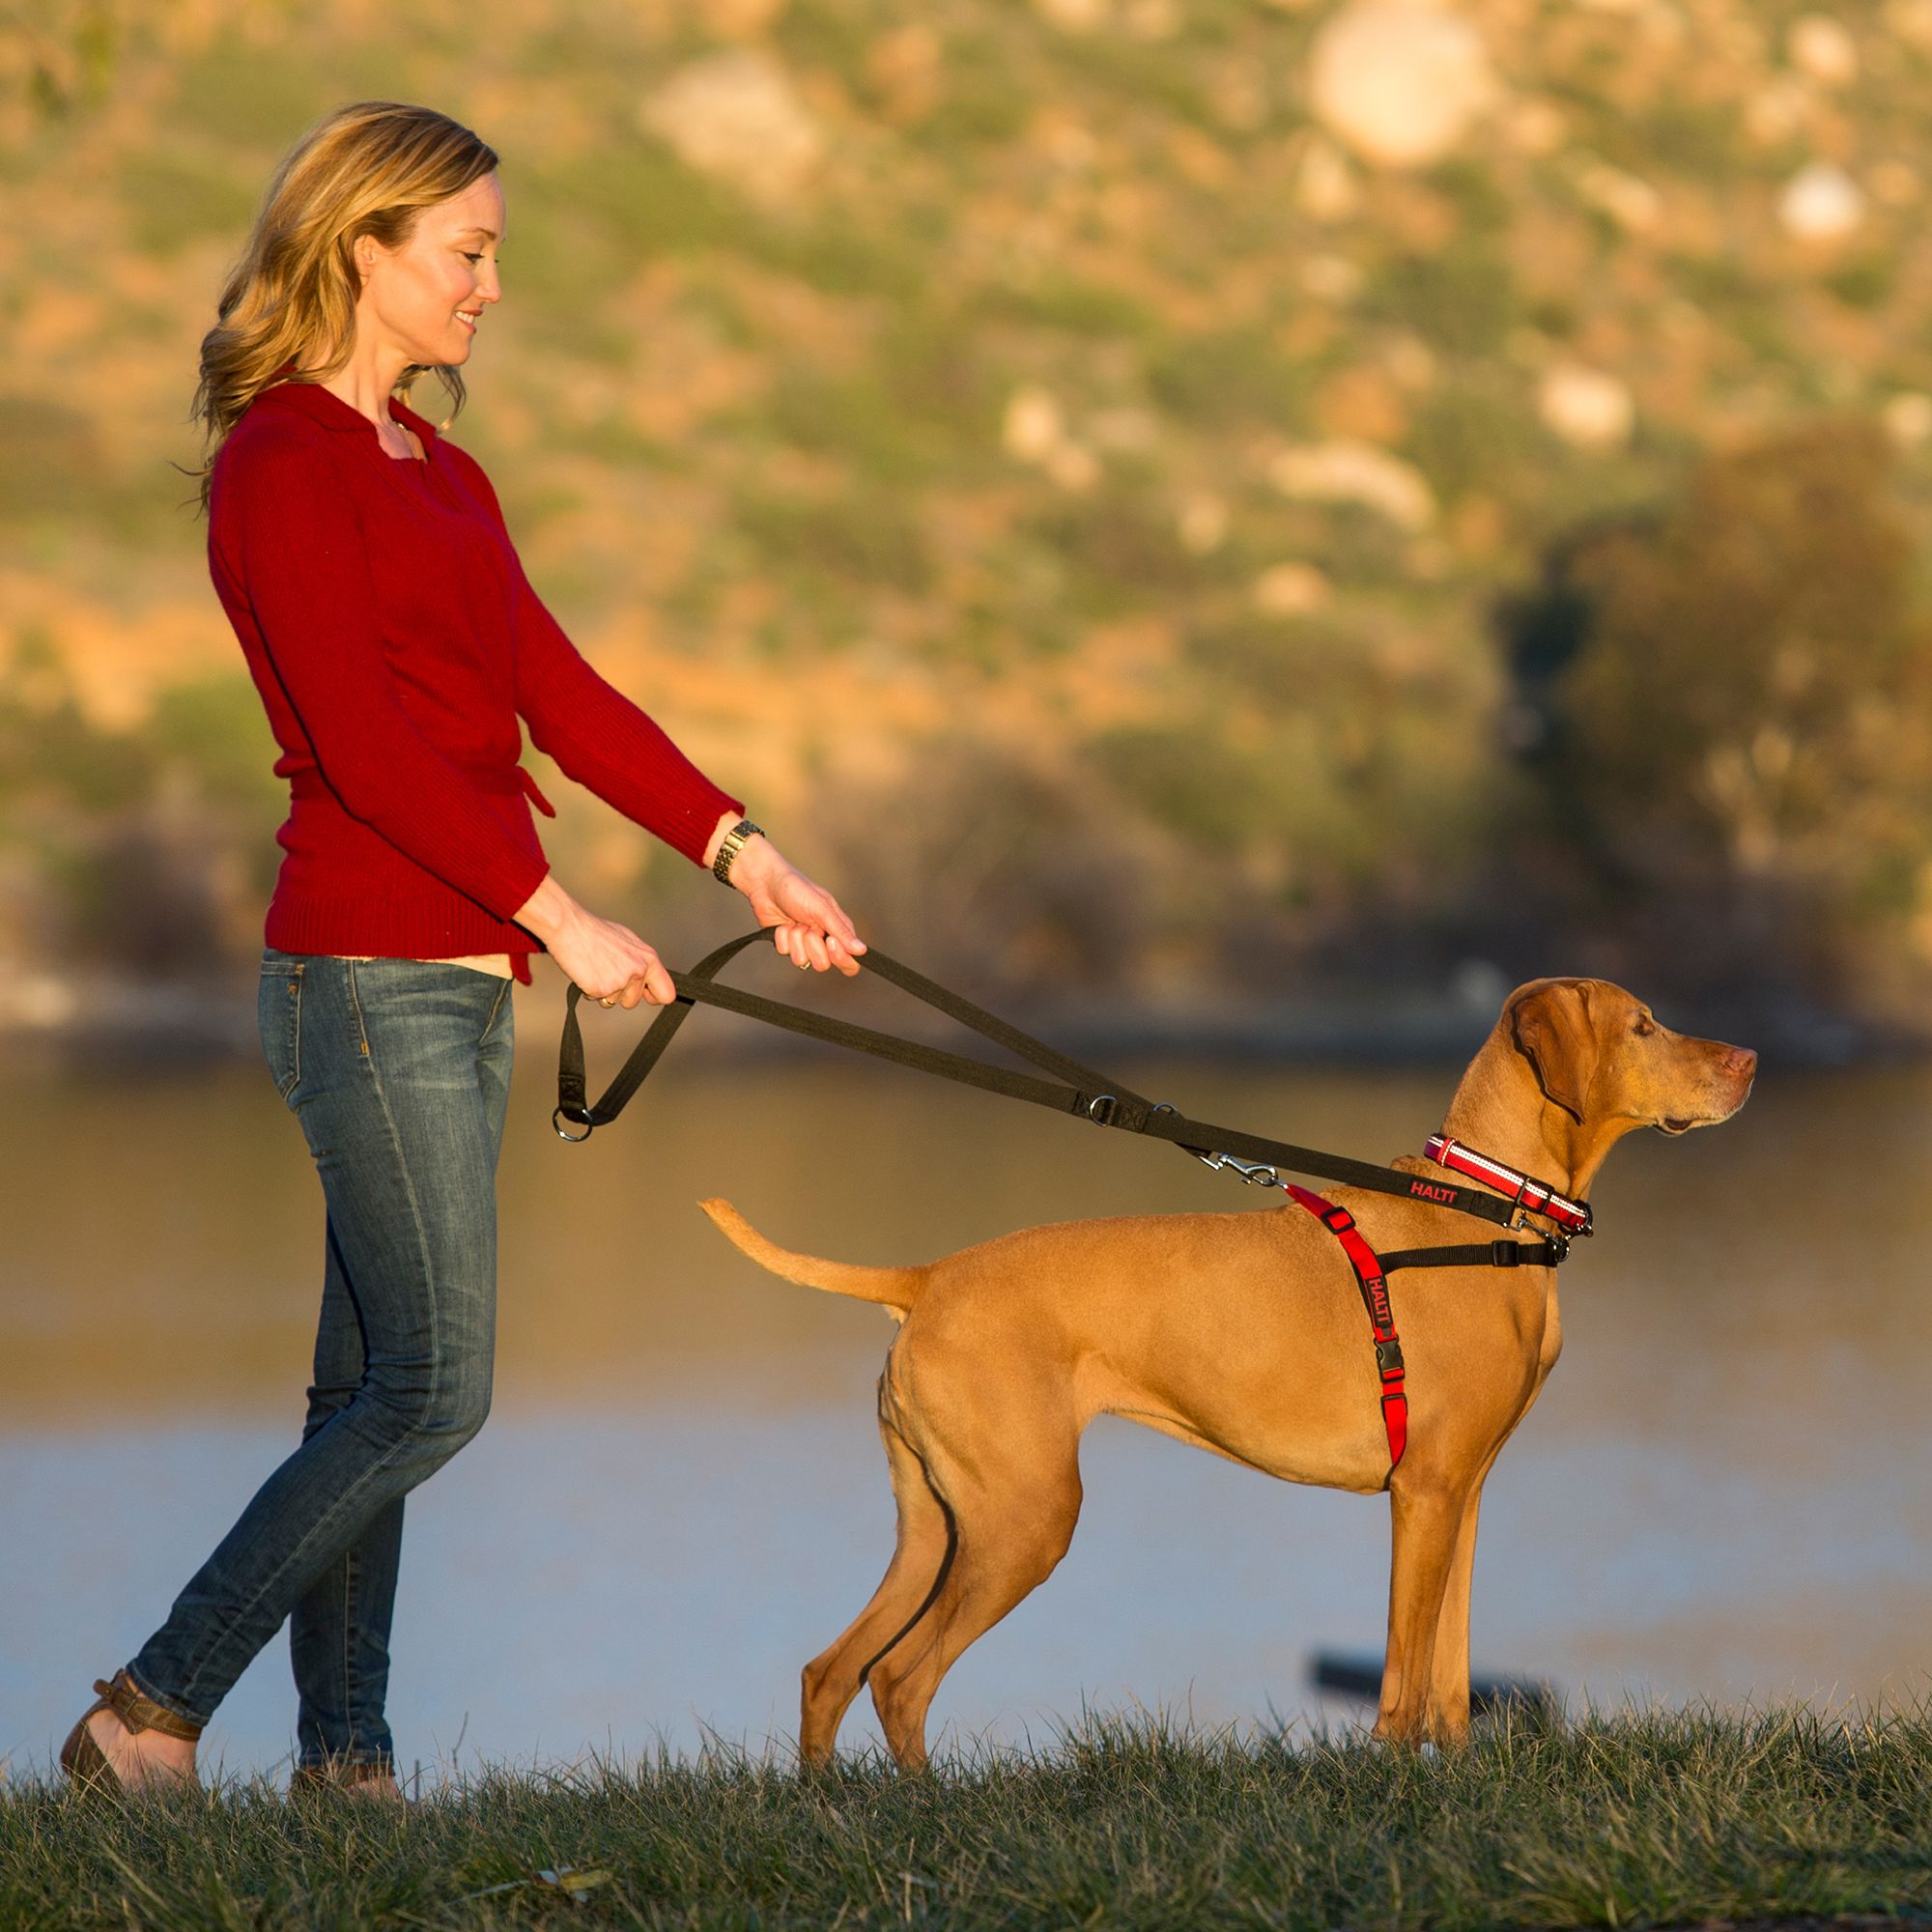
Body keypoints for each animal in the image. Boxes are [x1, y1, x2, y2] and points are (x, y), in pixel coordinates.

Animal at [703, 981, 1762, 1770]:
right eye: (1642, 1025)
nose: (1750, 1060)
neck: (1480, 1207)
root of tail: (924, 1278)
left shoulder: (1461, 1491)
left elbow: (1451, 1675)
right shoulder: (1421, 1493)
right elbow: (1402, 1674)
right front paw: (1393, 1782)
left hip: (936, 1526)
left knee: (831, 1671)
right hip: (1024, 1521)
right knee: (900, 1676)